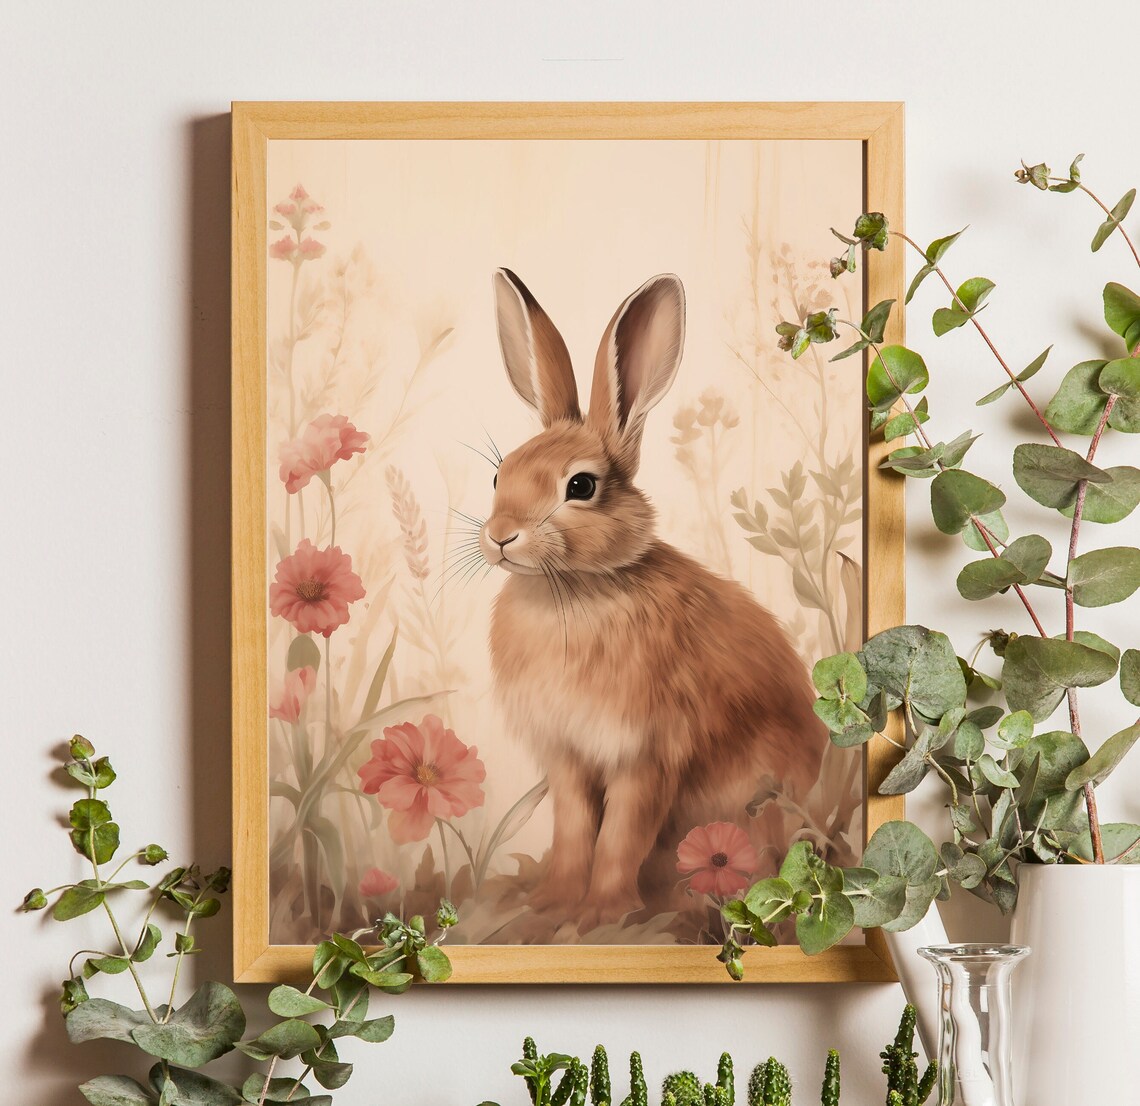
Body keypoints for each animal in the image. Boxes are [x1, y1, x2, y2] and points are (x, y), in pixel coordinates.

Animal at [479, 268, 829, 932]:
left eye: (580, 486)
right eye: (497, 474)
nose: (500, 536)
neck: (577, 588)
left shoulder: (647, 753)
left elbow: (620, 835)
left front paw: (601, 914)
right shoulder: (567, 755)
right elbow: (573, 830)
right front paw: (553, 903)